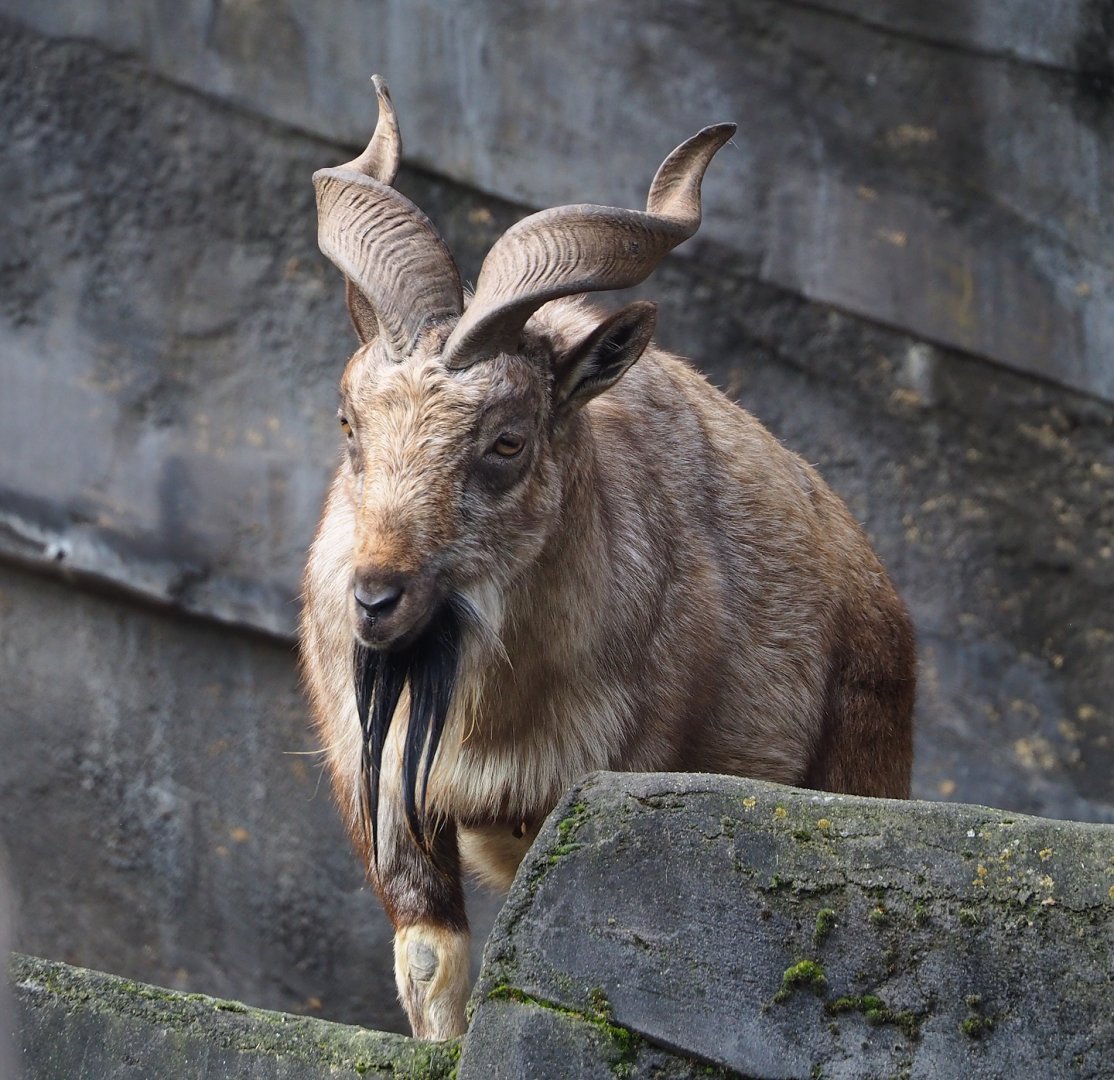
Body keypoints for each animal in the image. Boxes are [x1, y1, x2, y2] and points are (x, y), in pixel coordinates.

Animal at [299, 77, 915, 1039]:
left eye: (508, 440)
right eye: (349, 421)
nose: (376, 597)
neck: (488, 714)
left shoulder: (602, 780)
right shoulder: (383, 784)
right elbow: (430, 954)